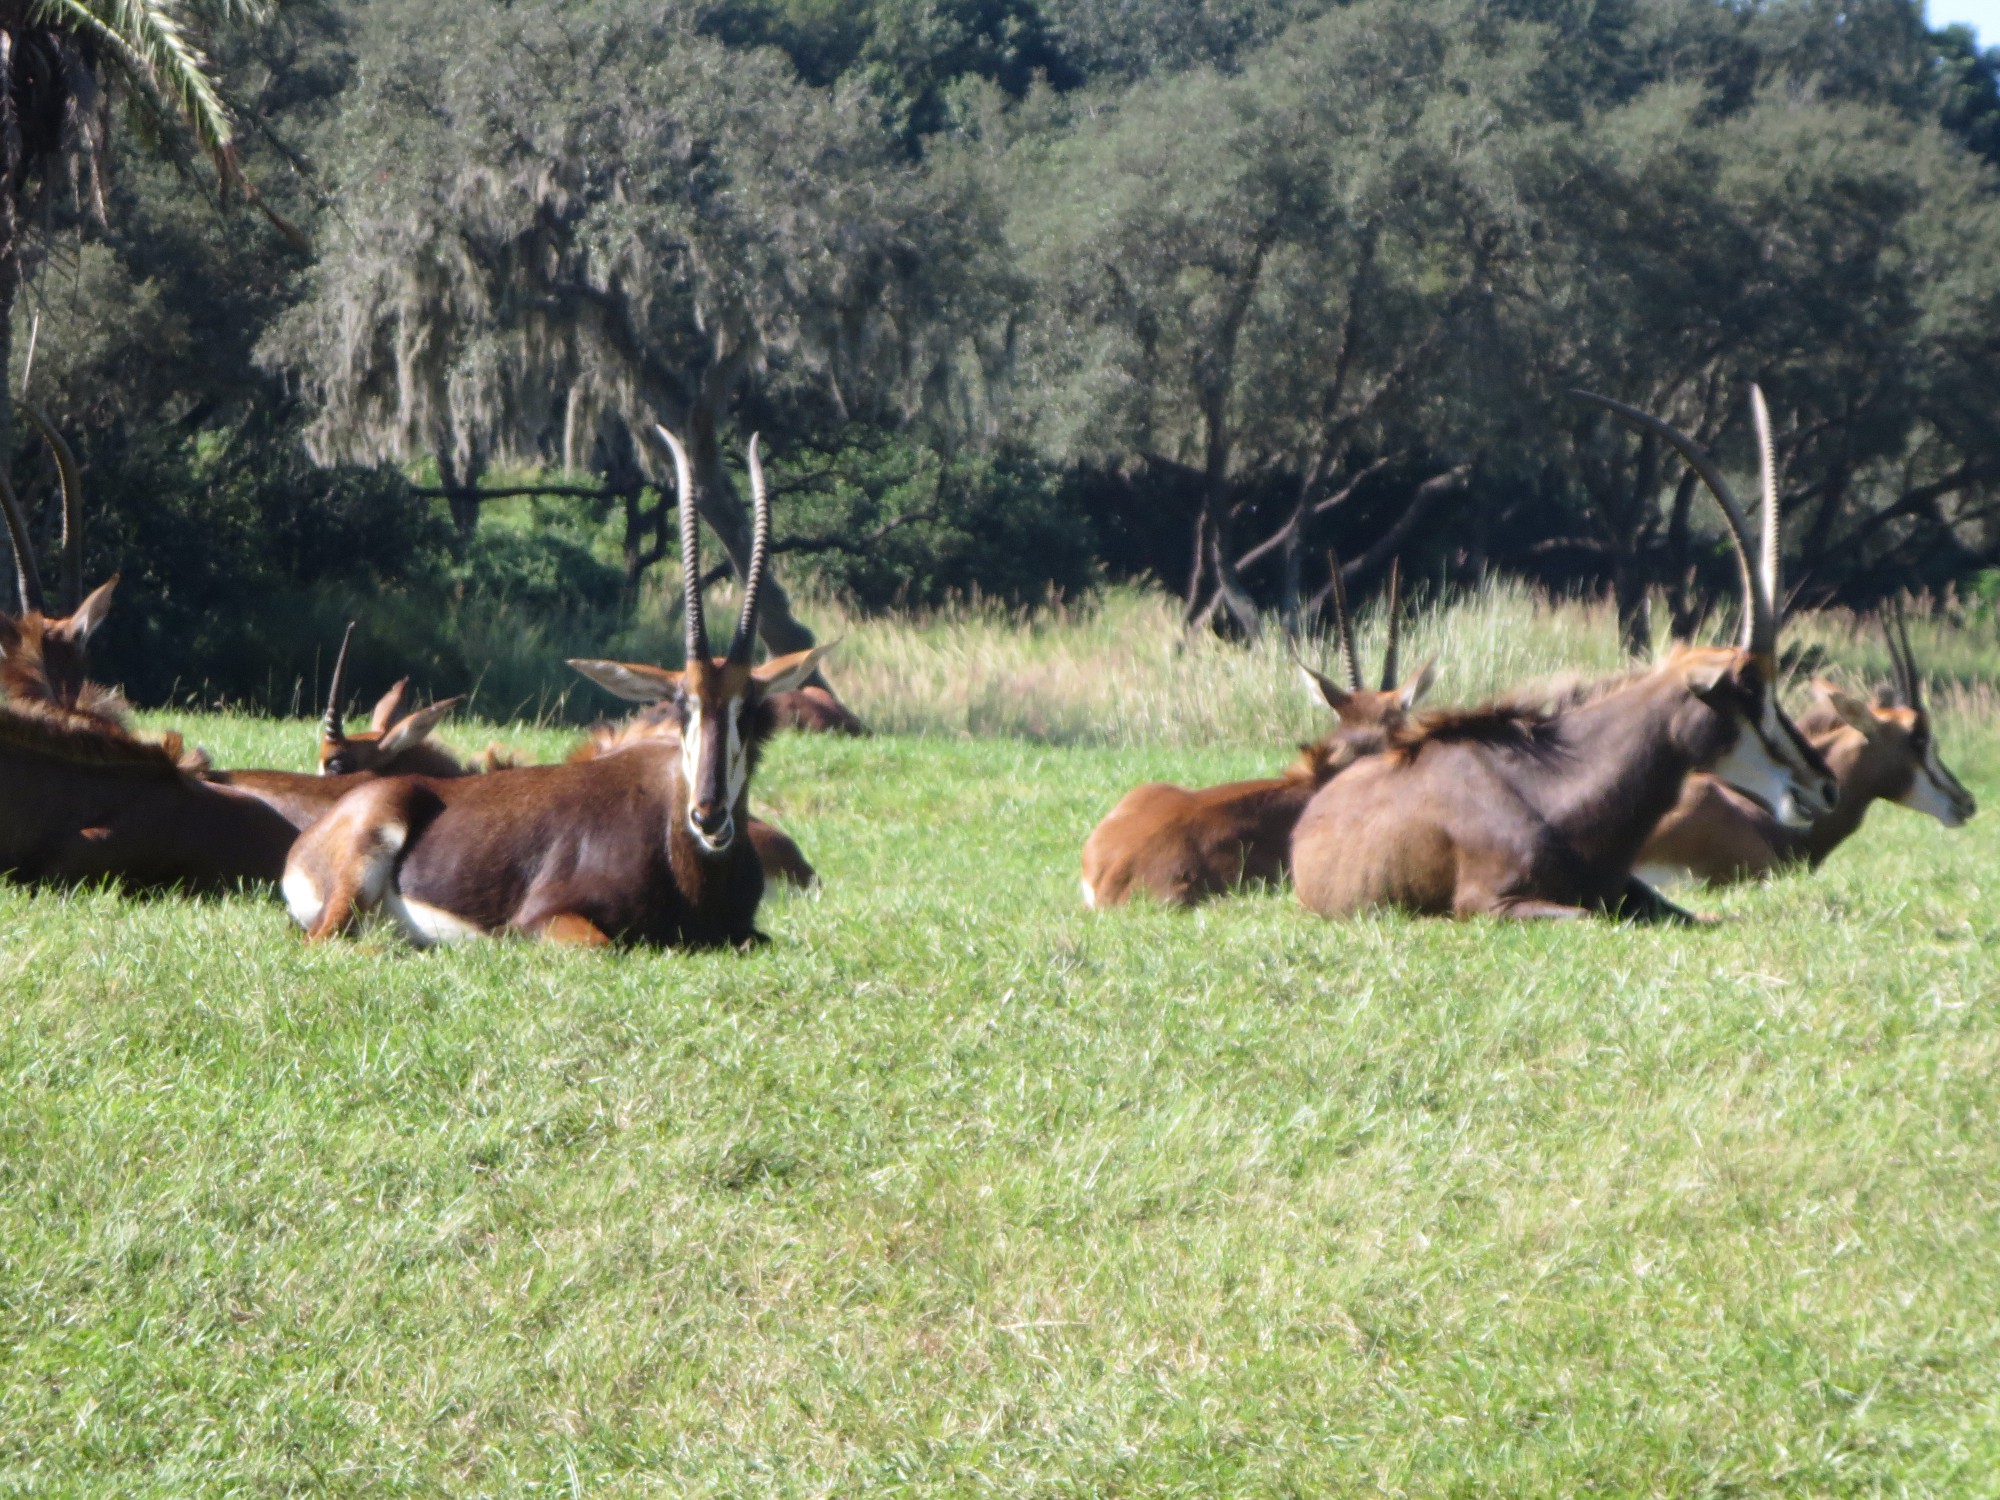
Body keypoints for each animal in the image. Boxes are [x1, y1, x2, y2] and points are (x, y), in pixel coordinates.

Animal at [282, 428, 828, 952]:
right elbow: (604, 946)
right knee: (325, 943)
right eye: (681, 707)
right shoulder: (541, 921)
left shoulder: (747, 934)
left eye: (749, 709)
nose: (709, 817)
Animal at [1288, 384, 1832, 928]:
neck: (1553, 789)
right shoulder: (1490, 905)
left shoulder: (1630, 892)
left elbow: (1697, 917)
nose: (1824, 785)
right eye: (1747, 687)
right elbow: (1590, 918)